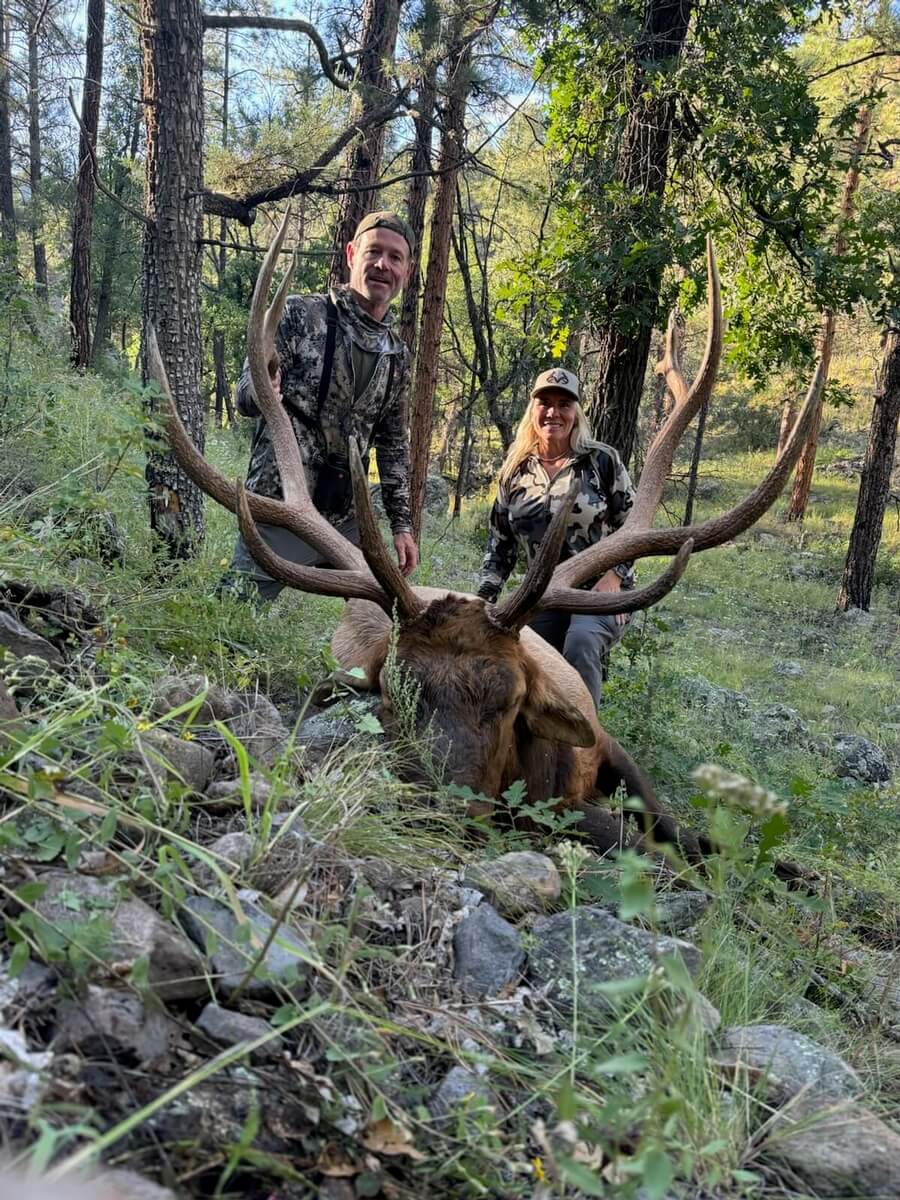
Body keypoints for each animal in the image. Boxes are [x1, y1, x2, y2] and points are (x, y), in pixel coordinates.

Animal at [147, 211, 828, 871]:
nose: (449, 808)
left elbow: (673, 831)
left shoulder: (606, 747)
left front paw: (783, 867)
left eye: (511, 700)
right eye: (395, 695)